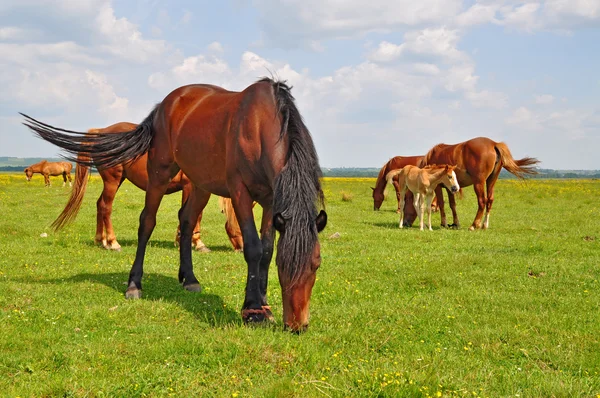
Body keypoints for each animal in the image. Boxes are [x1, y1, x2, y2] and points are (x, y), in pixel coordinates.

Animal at [49, 122, 239, 252]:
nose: (241, 248)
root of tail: (101, 132)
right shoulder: (189, 187)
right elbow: (194, 214)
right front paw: (195, 243)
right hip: (112, 180)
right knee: (105, 206)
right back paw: (112, 242)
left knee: (99, 204)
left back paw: (100, 240)